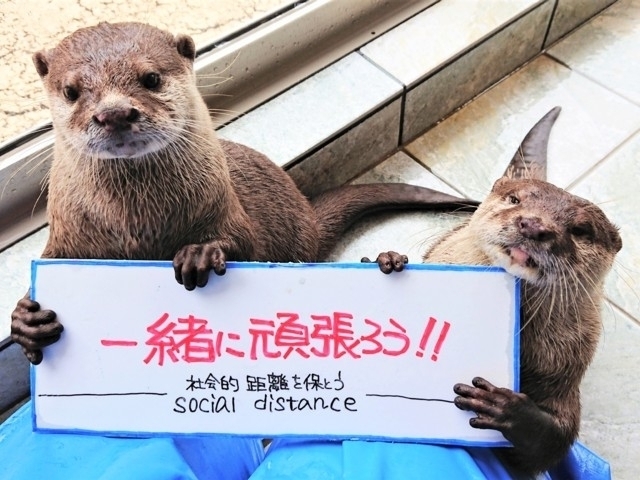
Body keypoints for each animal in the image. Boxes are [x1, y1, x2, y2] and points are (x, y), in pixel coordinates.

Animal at [9, 22, 477, 365]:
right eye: (71, 91)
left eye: (151, 78)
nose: (114, 113)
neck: (138, 225)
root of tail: (308, 217)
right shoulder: (68, 241)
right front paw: (26, 320)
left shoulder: (228, 211)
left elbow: (246, 243)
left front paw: (200, 253)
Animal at [376, 107, 622, 474]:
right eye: (515, 199)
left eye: (580, 230)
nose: (534, 224)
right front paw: (388, 259)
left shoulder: (565, 375)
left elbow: (552, 442)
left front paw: (504, 407)